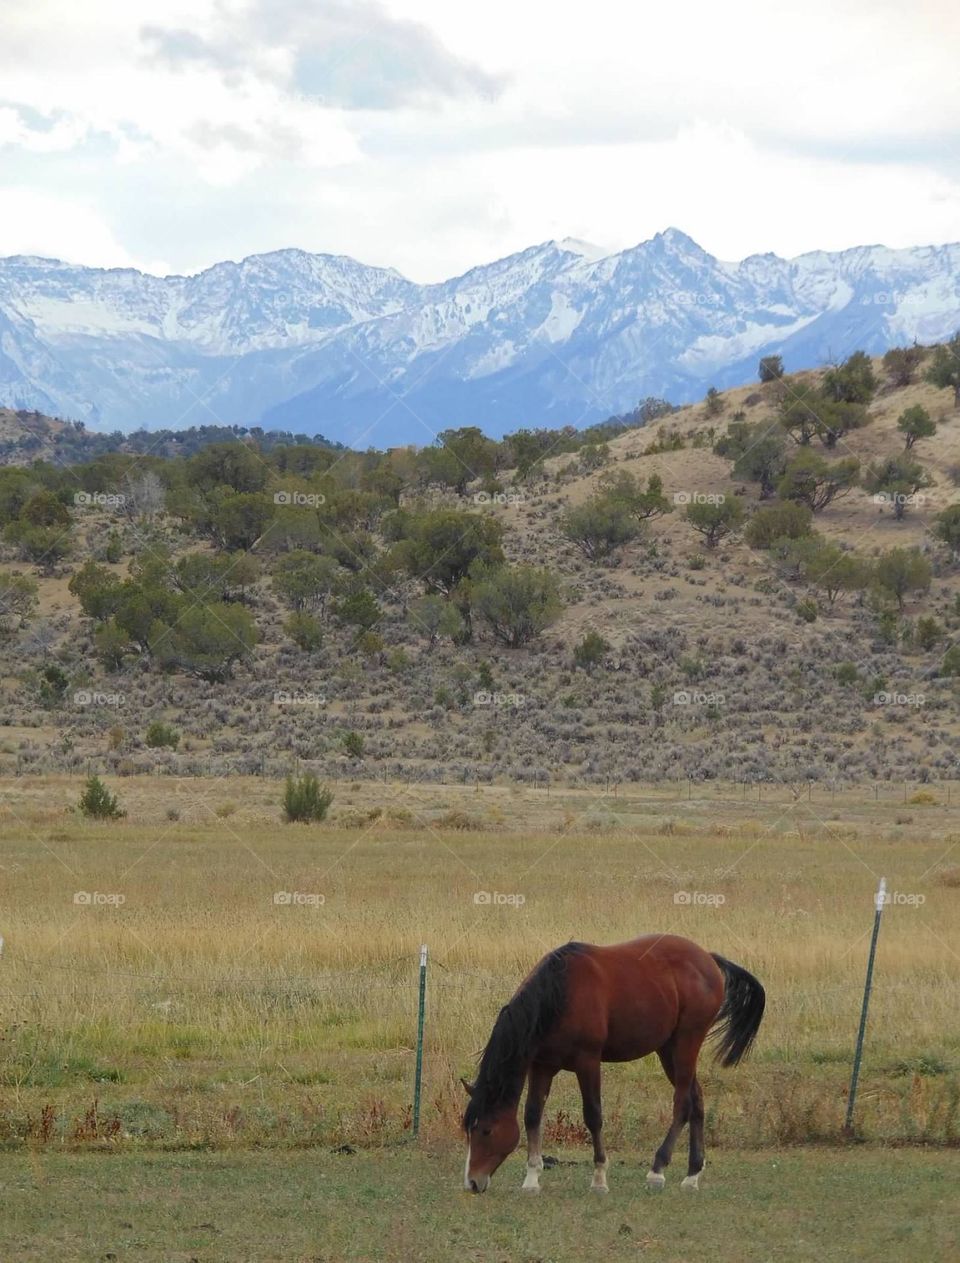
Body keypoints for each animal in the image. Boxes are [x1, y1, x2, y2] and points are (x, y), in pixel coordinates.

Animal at [462, 939, 762, 1192]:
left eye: (486, 1130)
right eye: (470, 1129)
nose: (472, 1182)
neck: (560, 995)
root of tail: (708, 958)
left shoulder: (588, 1062)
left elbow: (593, 1116)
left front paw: (599, 1179)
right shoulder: (542, 1066)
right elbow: (532, 1115)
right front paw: (532, 1179)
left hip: (687, 1042)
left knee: (682, 1104)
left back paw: (657, 1170)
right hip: (669, 1049)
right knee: (696, 1099)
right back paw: (692, 1175)